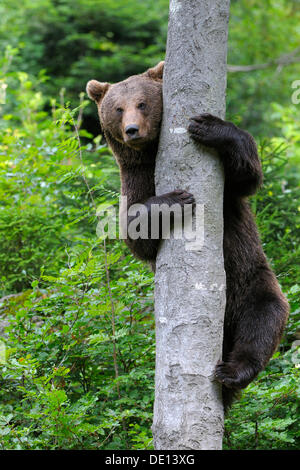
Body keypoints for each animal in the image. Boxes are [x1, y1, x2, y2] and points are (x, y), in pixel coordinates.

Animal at [86, 60, 288, 410]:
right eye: (117, 108)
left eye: (142, 103)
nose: (132, 130)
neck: (152, 154)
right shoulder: (135, 178)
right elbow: (135, 232)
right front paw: (174, 199)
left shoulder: (230, 193)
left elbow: (247, 175)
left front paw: (210, 127)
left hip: (253, 279)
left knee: (263, 320)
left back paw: (232, 371)